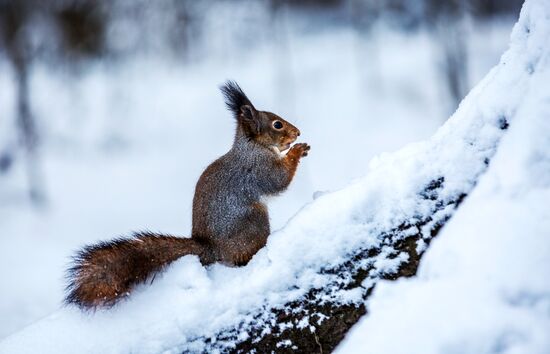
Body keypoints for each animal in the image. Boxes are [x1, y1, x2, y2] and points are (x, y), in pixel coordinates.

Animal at [64, 81, 310, 308]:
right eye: (277, 124)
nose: (297, 132)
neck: (252, 146)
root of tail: (210, 248)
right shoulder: (259, 167)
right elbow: (278, 181)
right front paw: (296, 151)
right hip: (254, 221)